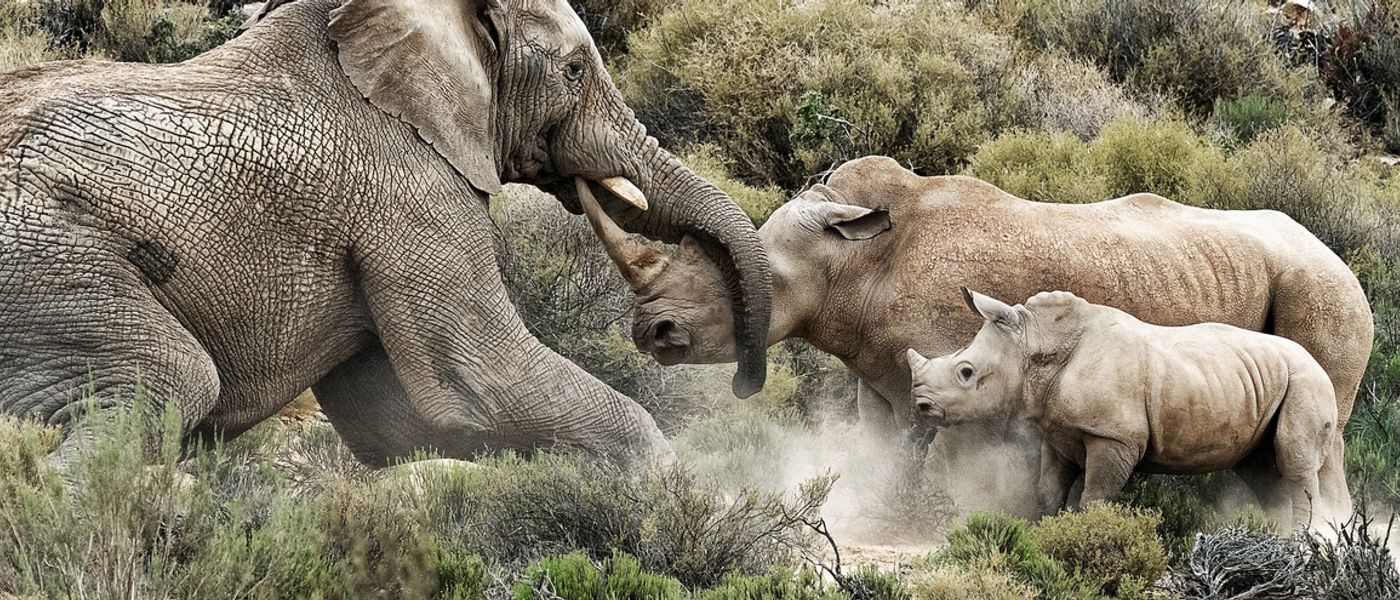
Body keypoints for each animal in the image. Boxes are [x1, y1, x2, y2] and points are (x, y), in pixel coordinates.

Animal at [0, 0, 772, 468]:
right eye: (574, 70)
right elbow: (484, 386)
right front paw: (664, 495)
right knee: (169, 379)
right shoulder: (413, 194)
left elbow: (400, 424)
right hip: (47, 265)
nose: (741, 384)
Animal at [907, 289, 1346, 529]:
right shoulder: (1057, 433)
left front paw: (1089, 533)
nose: (921, 406)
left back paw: (1304, 543)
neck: (1035, 344)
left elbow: (1096, 496)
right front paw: (1046, 532)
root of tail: (1321, 366)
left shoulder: (1113, 437)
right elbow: (1048, 491)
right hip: (1271, 382)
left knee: (1294, 462)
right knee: (1261, 470)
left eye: (966, 372)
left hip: (1306, 381)